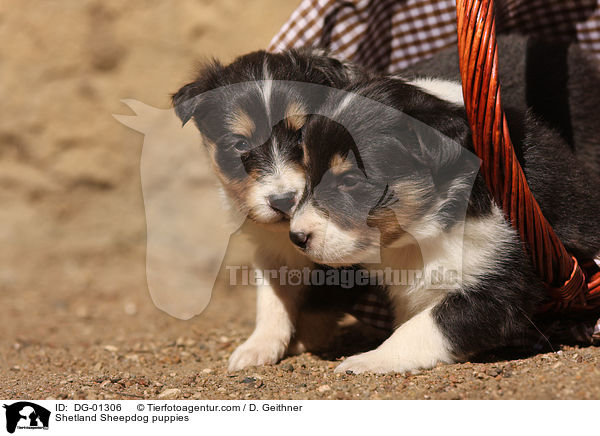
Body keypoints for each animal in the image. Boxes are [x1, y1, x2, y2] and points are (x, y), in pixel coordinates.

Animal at [171, 48, 364, 372]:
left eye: (302, 136)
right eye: (239, 143)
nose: (283, 201)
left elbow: (320, 300)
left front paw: (299, 342)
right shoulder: (270, 249)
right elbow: (271, 297)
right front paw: (258, 347)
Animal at [292, 76, 600, 372]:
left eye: (350, 180)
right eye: (307, 173)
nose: (296, 237)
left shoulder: (500, 279)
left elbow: (427, 325)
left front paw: (368, 360)